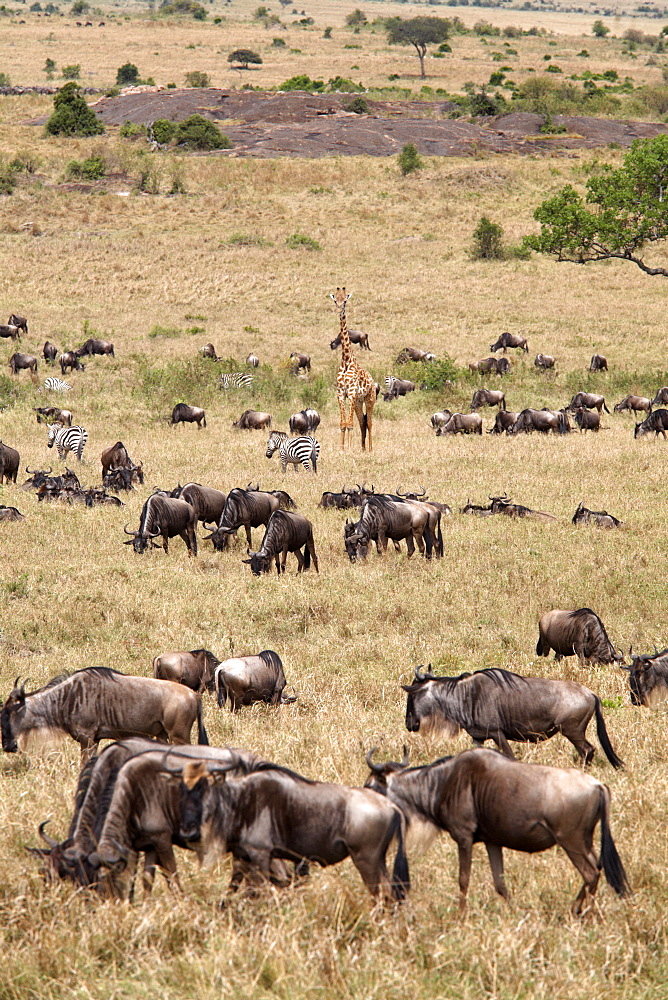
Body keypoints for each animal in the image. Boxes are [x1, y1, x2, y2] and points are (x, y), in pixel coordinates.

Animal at [328, 286, 376, 450]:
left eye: (345, 301)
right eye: (335, 300)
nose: (339, 309)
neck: (346, 360)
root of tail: (373, 380)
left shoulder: (351, 393)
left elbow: (349, 424)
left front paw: (348, 448)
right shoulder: (341, 394)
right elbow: (343, 424)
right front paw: (342, 448)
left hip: (369, 399)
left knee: (369, 423)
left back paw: (370, 449)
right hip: (358, 402)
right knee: (362, 422)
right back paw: (362, 449)